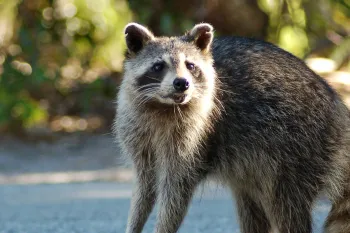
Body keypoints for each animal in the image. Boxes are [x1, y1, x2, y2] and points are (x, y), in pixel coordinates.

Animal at [114, 22, 350, 233]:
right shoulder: (136, 132)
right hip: (256, 165)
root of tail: (337, 108)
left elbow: (176, 193)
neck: (164, 106)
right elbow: (144, 188)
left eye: (190, 66)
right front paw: (134, 225)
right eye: (158, 66)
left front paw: (163, 227)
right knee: (252, 207)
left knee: (286, 205)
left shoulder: (196, 137)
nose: (182, 83)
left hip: (298, 148)